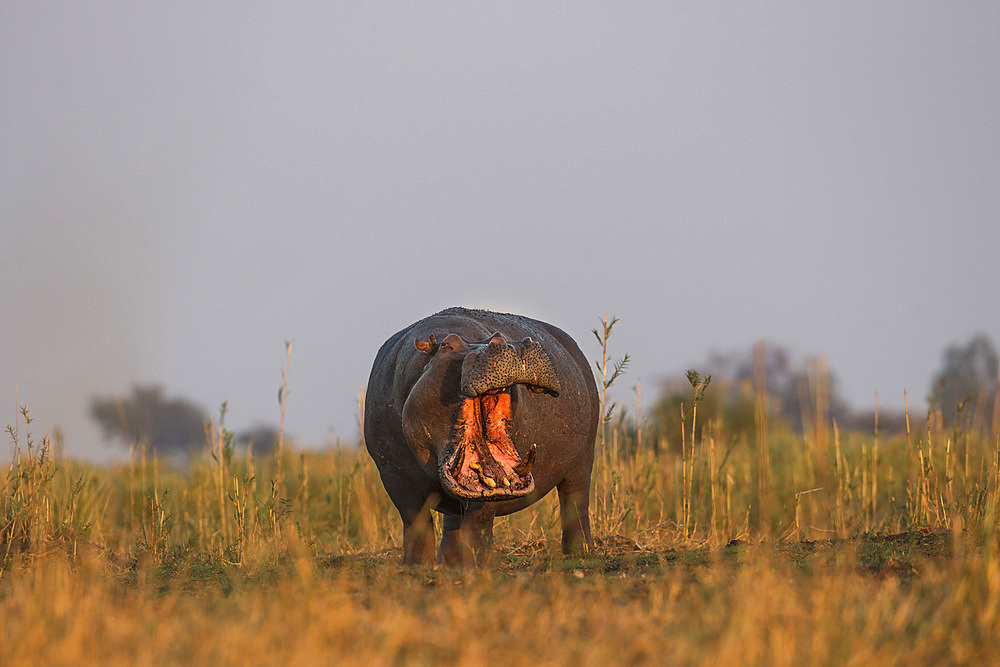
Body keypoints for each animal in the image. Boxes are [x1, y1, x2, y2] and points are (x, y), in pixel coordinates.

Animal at [368, 308, 600, 564]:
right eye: (448, 345)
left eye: (498, 335)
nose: (514, 345)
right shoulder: (392, 473)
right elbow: (416, 522)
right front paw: (417, 566)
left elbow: (478, 524)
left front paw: (476, 565)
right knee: (453, 521)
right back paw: (448, 561)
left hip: (583, 458)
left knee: (576, 501)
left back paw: (580, 554)